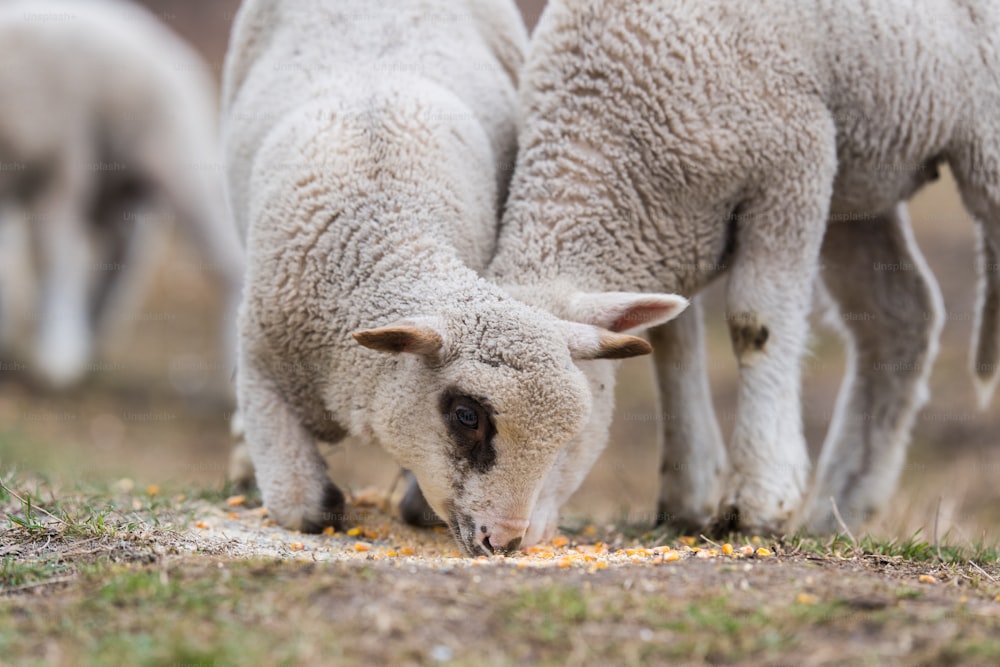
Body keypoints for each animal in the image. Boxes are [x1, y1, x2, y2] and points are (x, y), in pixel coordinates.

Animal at [0, 0, 244, 392]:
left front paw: (56, 358)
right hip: (115, 185)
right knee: (124, 250)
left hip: (181, 162)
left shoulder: (64, 163)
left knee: (226, 258)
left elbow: (52, 256)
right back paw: (93, 330)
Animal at [221, 0, 688, 556]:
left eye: (565, 439)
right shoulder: (260, 371)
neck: (386, 228)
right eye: (467, 415)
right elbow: (305, 507)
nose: (503, 541)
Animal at [486, 0, 1000, 536]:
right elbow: (672, 344)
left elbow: (758, 323)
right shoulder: (671, 225)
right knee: (899, 317)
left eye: (572, 418)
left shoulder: (793, 163)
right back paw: (839, 509)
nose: (508, 537)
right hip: (858, 175)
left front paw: (758, 499)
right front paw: (686, 493)